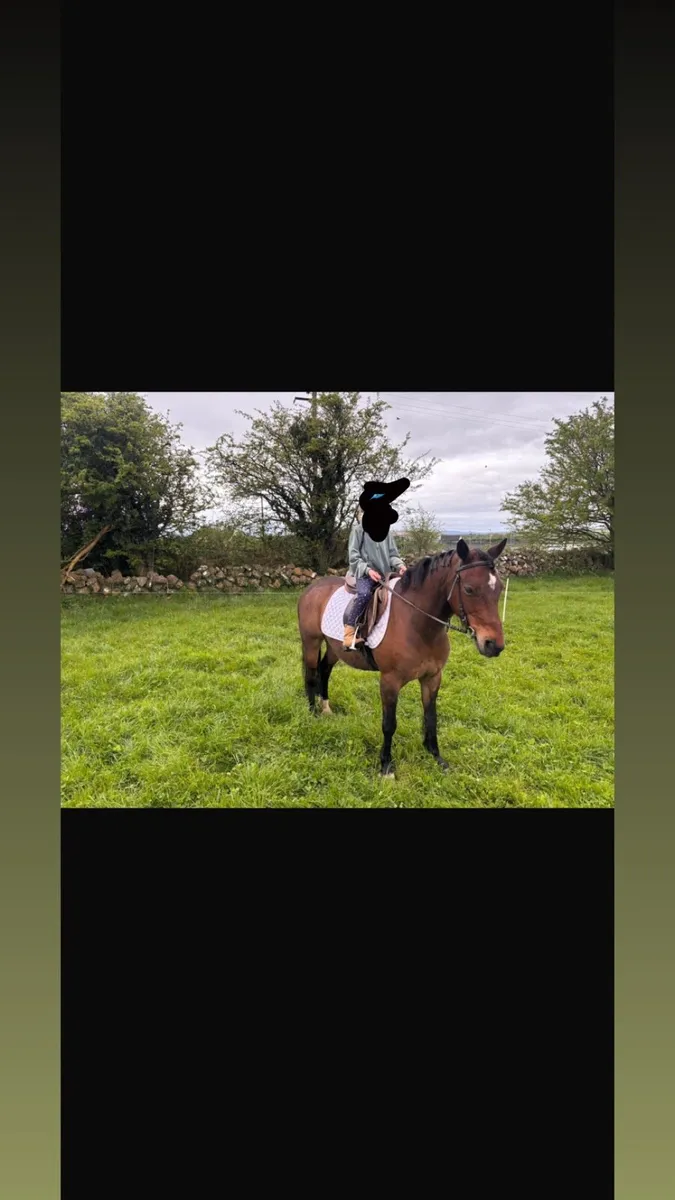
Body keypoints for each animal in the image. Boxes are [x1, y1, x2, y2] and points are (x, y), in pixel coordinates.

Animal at [297, 537, 507, 777]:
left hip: (335, 648)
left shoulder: (432, 677)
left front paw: (436, 757)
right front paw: (386, 766)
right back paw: (313, 713)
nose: (494, 645)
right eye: (469, 589)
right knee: (311, 675)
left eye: (500, 588)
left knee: (324, 671)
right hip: (311, 642)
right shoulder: (390, 681)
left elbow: (431, 718)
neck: (417, 624)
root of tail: (311, 588)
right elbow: (389, 724)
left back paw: (326, 709)